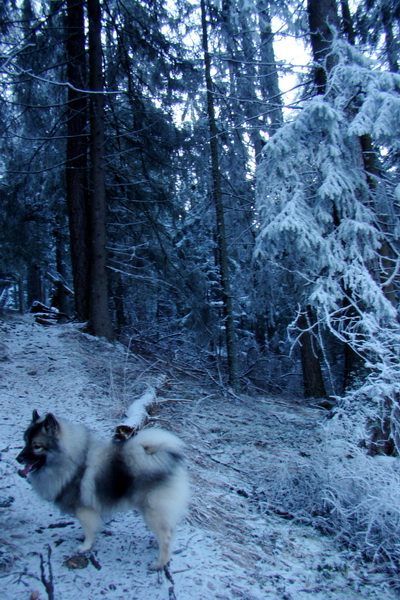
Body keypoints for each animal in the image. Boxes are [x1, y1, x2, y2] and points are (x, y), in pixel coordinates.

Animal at [16, 410, 189, 568]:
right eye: (25, 442)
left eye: (37, 446)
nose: (18, 458)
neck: (71, 462)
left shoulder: (84, 510)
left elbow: (89, 531)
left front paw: (85, 546)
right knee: (169, 531)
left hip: (153, 511)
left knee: (166, 537)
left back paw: (160, 563)